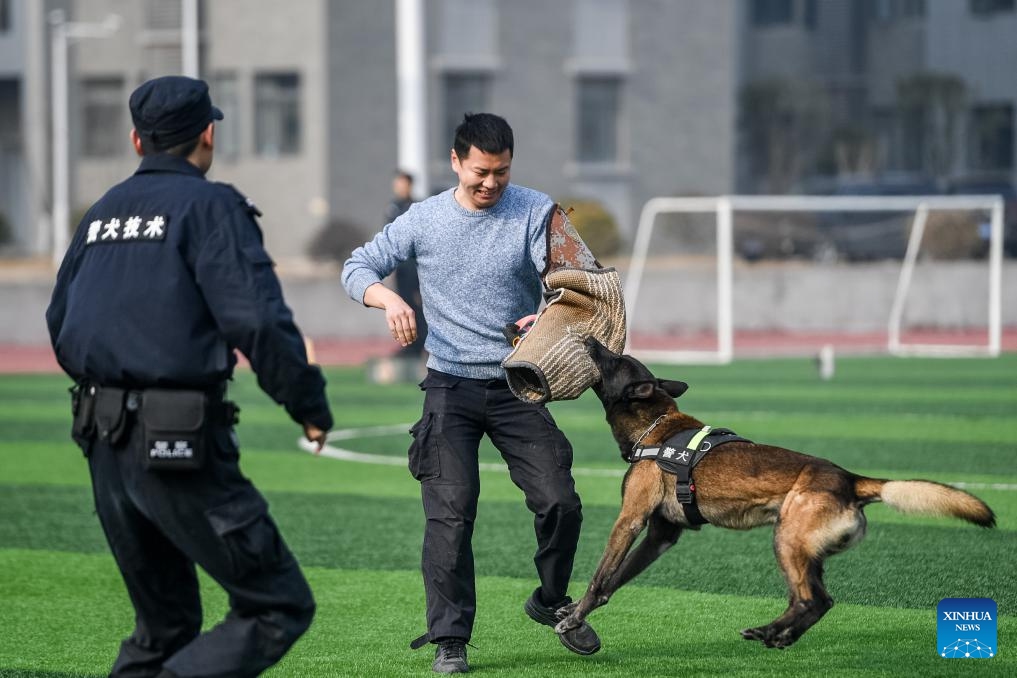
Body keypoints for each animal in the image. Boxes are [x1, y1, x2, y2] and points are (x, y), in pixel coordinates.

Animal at [557, 339, 992, 650]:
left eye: (613, 359)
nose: (590, 339)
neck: (657, 426)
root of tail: (850, 479)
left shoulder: (629, 521)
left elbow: (599, 576)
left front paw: (573, 618)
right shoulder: (661, 535)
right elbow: (614, 581)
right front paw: (579, 614)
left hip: (787, 539)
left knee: (811, 600)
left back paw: (769, 632)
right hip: (806, 548)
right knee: (818, 600)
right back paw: (778, 634)